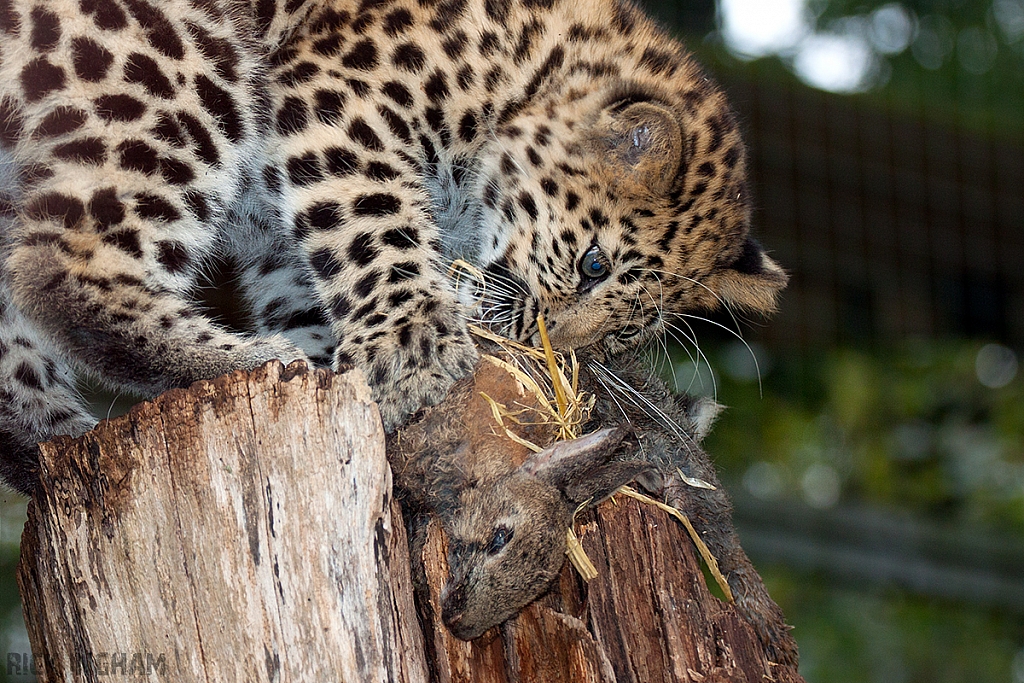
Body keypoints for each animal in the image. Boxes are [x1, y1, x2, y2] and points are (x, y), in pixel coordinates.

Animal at [0, 0, 786, 491]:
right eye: (594, 264)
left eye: (627, 336)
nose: (554, 344)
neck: (526, 66)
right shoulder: (340, 100)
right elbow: (372, 222)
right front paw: (414, 351)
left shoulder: (278, 226)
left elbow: (314, 283)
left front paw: (344, 365)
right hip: (174, 61)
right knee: (54, 264)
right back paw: (241, 360)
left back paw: (53, 446)